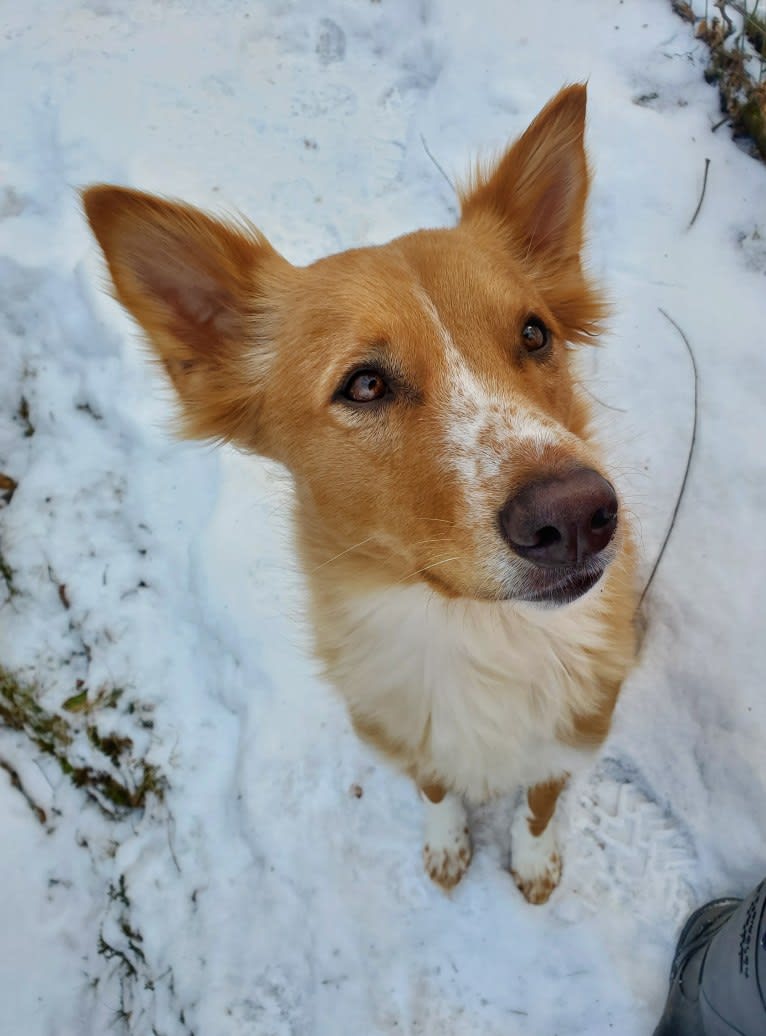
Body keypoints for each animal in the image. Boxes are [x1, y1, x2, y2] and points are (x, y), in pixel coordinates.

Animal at [83, 84, 638, 903]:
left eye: (535, 335)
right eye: (366, 385)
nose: (579, 517)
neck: (474, 635)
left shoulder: (576, 736)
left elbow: (540, 805)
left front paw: (536, 862)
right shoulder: (399, 735)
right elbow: (436, 791)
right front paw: (447, 845)